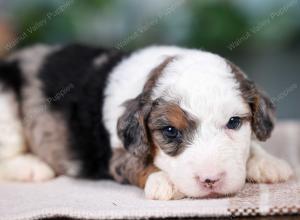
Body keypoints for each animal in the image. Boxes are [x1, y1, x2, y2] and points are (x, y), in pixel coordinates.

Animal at [0, 44, 292, 199]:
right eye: (170, 131)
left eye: (233, 123)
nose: (210, 180)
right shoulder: (119, 154)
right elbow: (137, 164)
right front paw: (165, 181)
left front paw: (268, 163)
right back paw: (32, 167)